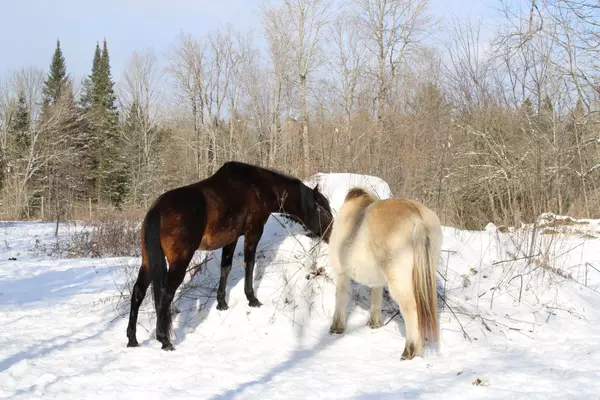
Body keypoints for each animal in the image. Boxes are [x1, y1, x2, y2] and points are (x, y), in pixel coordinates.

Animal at [126, 162, 332, 350]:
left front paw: (222, 303)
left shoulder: (230, 240)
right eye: (322, 210)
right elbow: (249, 264)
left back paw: (132, 339)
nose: (331, 233)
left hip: (148, 261)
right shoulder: (253, 233)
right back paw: (164, 340)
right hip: (180, 261)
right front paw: (252, 298)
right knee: (165, 293)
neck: (260, 186)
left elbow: (226, 267)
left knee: (138, 292)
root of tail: (157, 210)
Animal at [326, 187, 442, 360]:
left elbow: (341, 297)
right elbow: (376, 296)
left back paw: (409, 351)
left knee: (411, 309)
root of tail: (416, 216)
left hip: (399, 281)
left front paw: (336, 327)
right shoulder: (377, 281)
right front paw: (375, 324)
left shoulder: (341, 274)